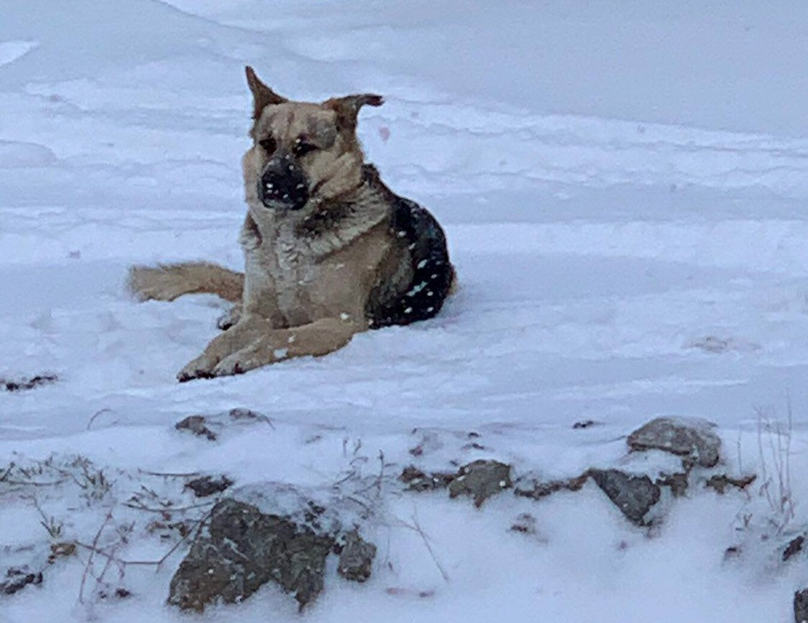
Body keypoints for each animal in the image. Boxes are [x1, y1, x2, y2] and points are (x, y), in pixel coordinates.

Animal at [127, 67, 454, 380]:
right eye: (267, 144)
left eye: (304, 147)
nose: (270, 183)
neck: (284, 238)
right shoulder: (261, 314)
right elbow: (224, 340)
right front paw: (202, 360)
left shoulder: (340, 323)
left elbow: (281, 337)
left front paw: (239, 359)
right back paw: (232, 313)